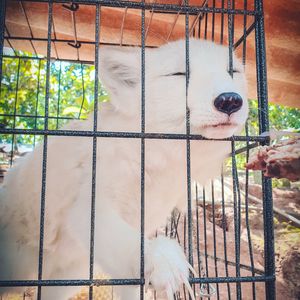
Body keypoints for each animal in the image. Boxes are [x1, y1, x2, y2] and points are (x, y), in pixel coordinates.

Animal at [0, 39, 248, 300]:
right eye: (179, 74)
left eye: (233, 72)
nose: (230, 100)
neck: (157, 158)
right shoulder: (88, 208)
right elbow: (130, 243)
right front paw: (161, 259)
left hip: (67, 279)